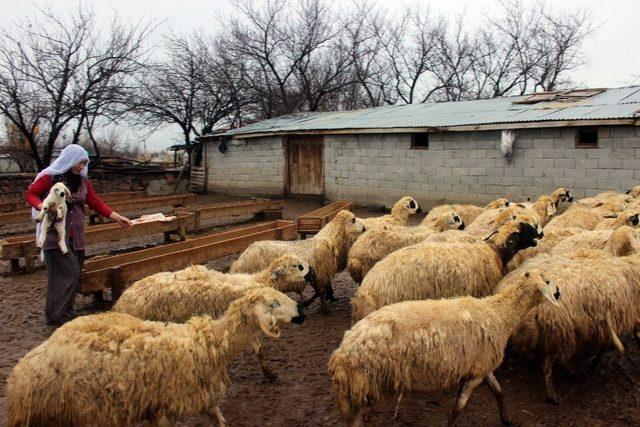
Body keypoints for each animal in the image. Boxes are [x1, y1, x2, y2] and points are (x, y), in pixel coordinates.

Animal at [5, 288, 304, 427]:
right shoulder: (160, 407)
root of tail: (20, 373)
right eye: (273, 304)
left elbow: (221, 421)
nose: (299, 310)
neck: (206, 344)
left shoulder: (203, 398)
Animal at [229, 211, 364, 310]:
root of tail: (240, 260)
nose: (364, 228)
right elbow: (321, 292)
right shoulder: (320, 273)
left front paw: (328, 300)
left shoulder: (319, 274)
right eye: (353, 220)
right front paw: (323, 307)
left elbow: (323, 290)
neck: (331, 239)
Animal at [330, 270, 560, 426]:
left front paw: (506, 418)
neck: (498, 313)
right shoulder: (477, 373)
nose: (558, 293)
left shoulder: (481, 366)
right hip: (362, 385)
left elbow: (499, 392)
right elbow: (458, 409)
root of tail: (340, 353)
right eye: (548, 282)